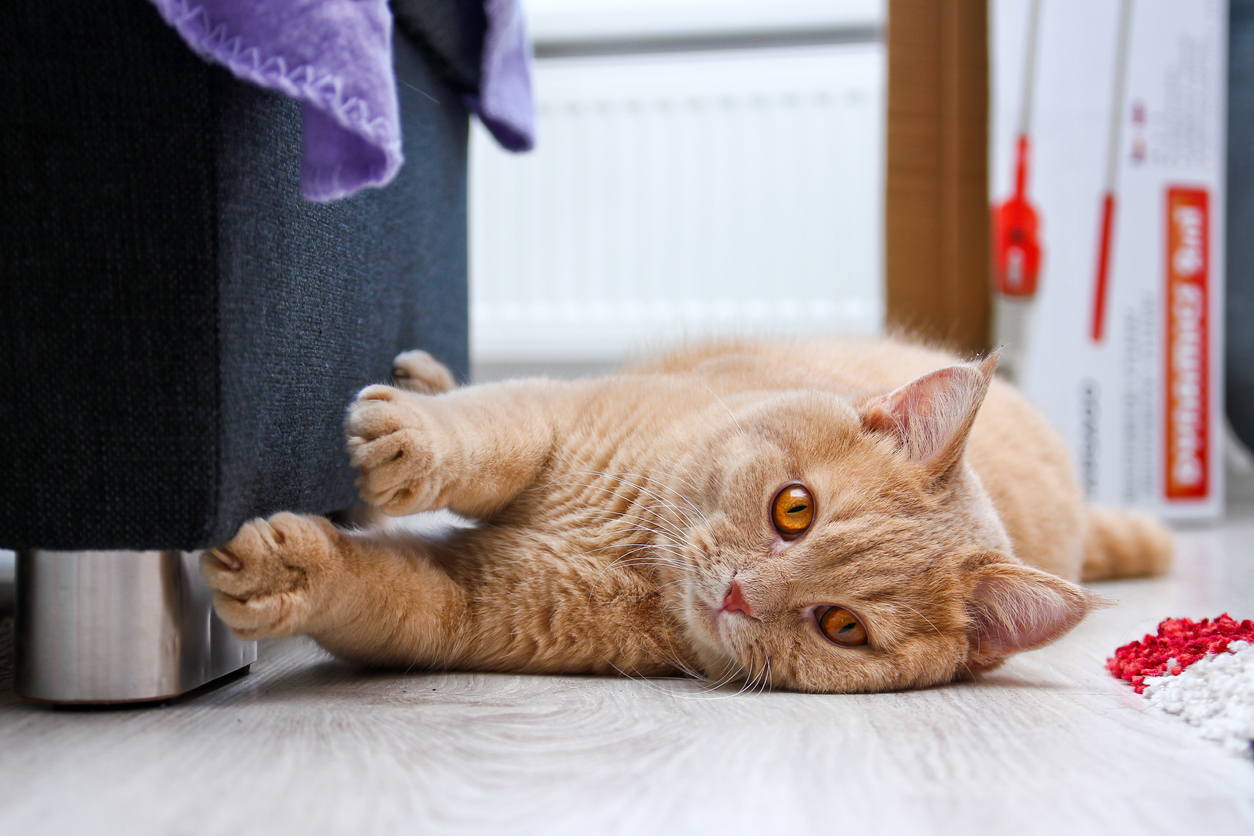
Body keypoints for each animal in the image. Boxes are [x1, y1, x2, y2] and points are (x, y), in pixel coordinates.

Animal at [200, 335, 1168, 696]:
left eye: (843, 627)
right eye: (794, 509)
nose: (739, 593)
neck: (642, 554)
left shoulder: (467, 609)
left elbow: (383, 589)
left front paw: (288, 572)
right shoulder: (558, 415)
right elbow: (488, 432)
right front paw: (412, 437)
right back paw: (424, 387)